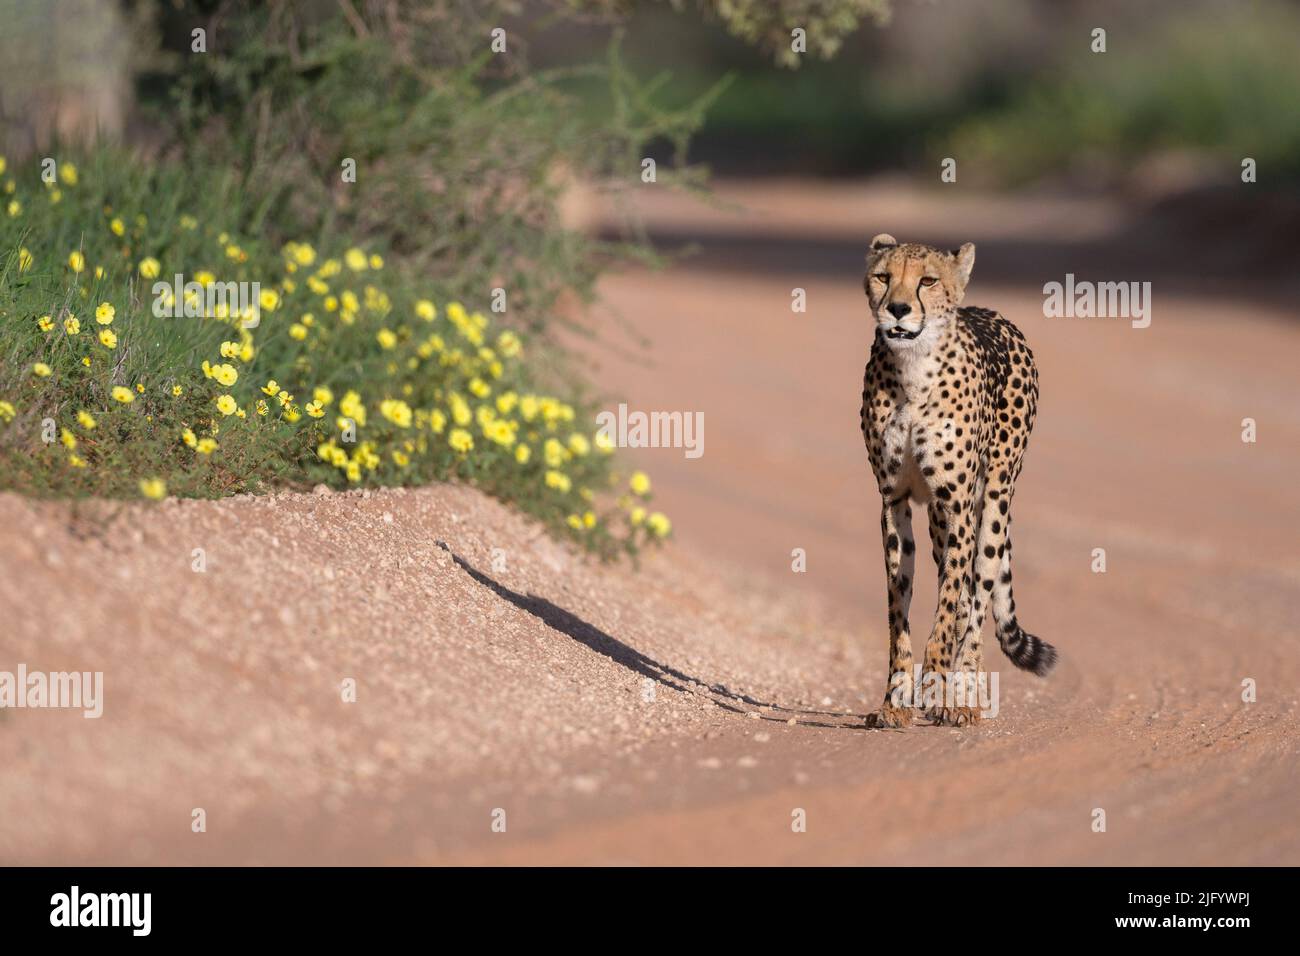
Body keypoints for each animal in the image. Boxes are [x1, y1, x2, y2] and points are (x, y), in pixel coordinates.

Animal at [863, 235, 1055, 728]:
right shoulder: (895, 501)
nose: (897, 309)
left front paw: (935, 685)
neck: (913, 369)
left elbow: (950, 606)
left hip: (993, 501)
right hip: (937, 520)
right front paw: (894, 702)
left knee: (978, 597)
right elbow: (899, 610)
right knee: (966, 593)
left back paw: (964, 697)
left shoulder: (957, 504)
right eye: (883, 277)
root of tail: (993, 313)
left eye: (928, 281)